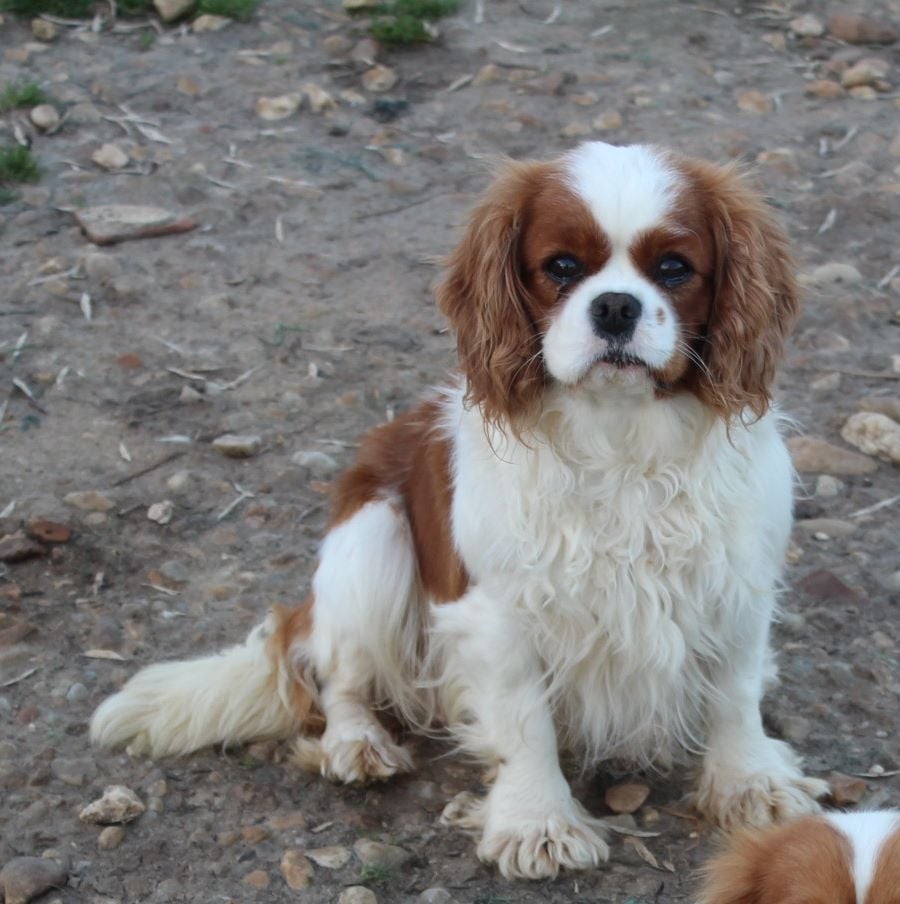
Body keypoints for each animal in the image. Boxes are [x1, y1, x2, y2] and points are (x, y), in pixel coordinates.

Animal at [93, 145, 828, 880]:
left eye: (675, 268)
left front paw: (750, 783)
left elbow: (734, 693)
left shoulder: (736, 580)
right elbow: (525, 721)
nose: (616, 305)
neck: (618, 439)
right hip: (371, 542)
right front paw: (537, 821)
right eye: (561, 266)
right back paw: (356, 743)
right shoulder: (495, 610)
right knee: (336, 674)